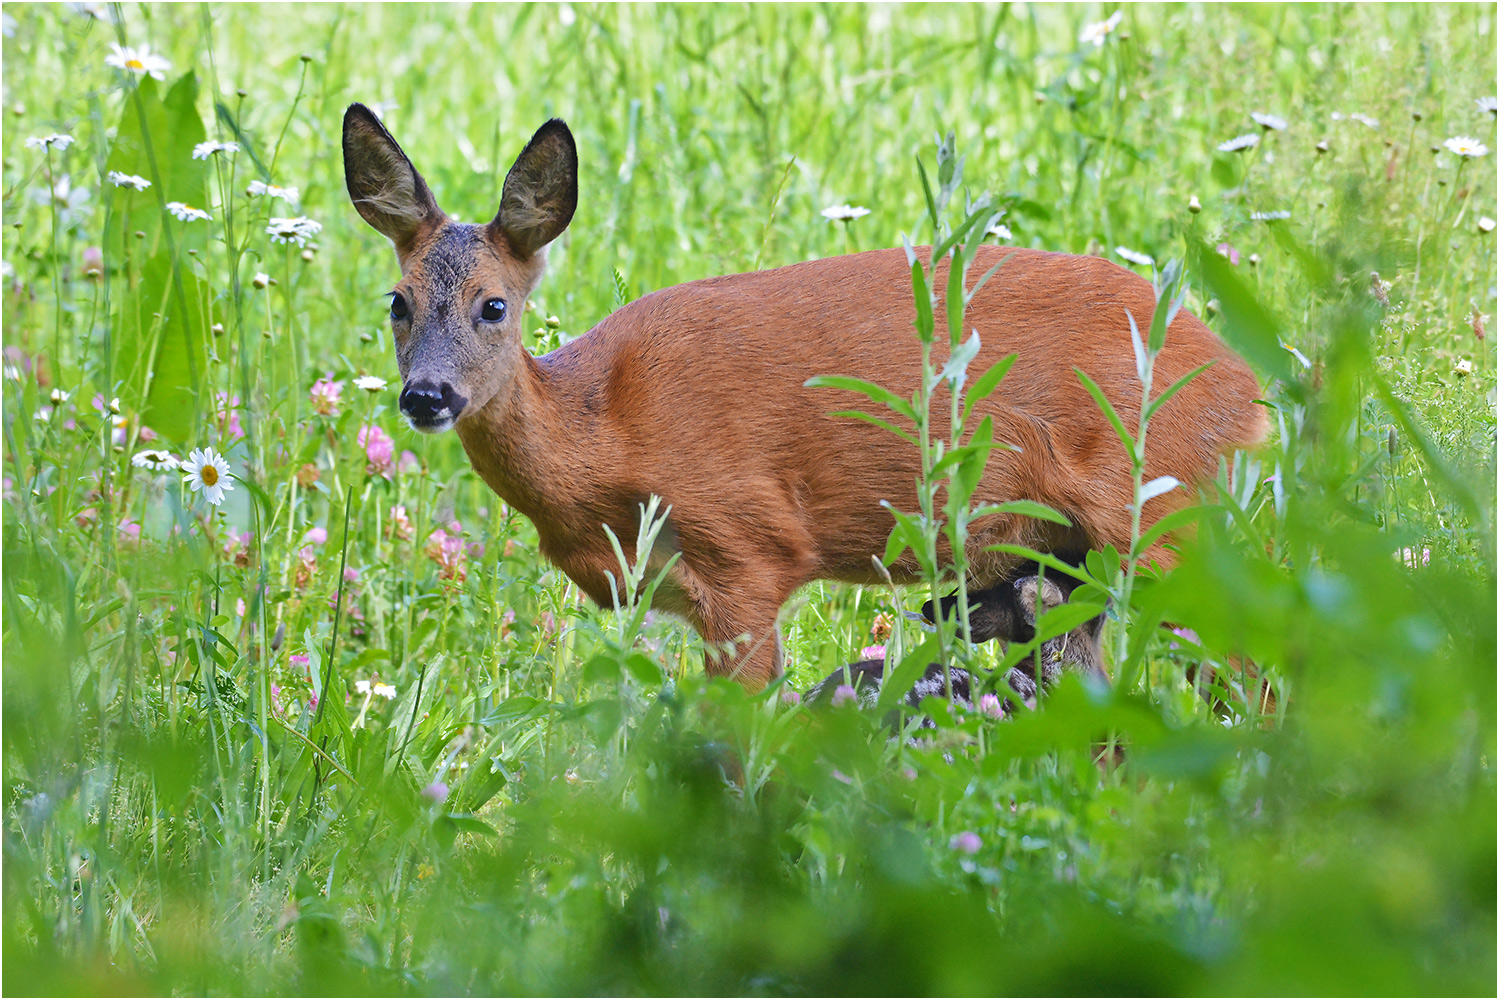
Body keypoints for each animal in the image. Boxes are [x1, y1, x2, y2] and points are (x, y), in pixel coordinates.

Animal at [340, 108, 1266, 690]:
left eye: (494, 305)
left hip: (1168, 515)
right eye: (398, 302)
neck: (604, 430)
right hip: (1070, 557)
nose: (426, 395)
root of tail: (1249, 390)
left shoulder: (747, 547)